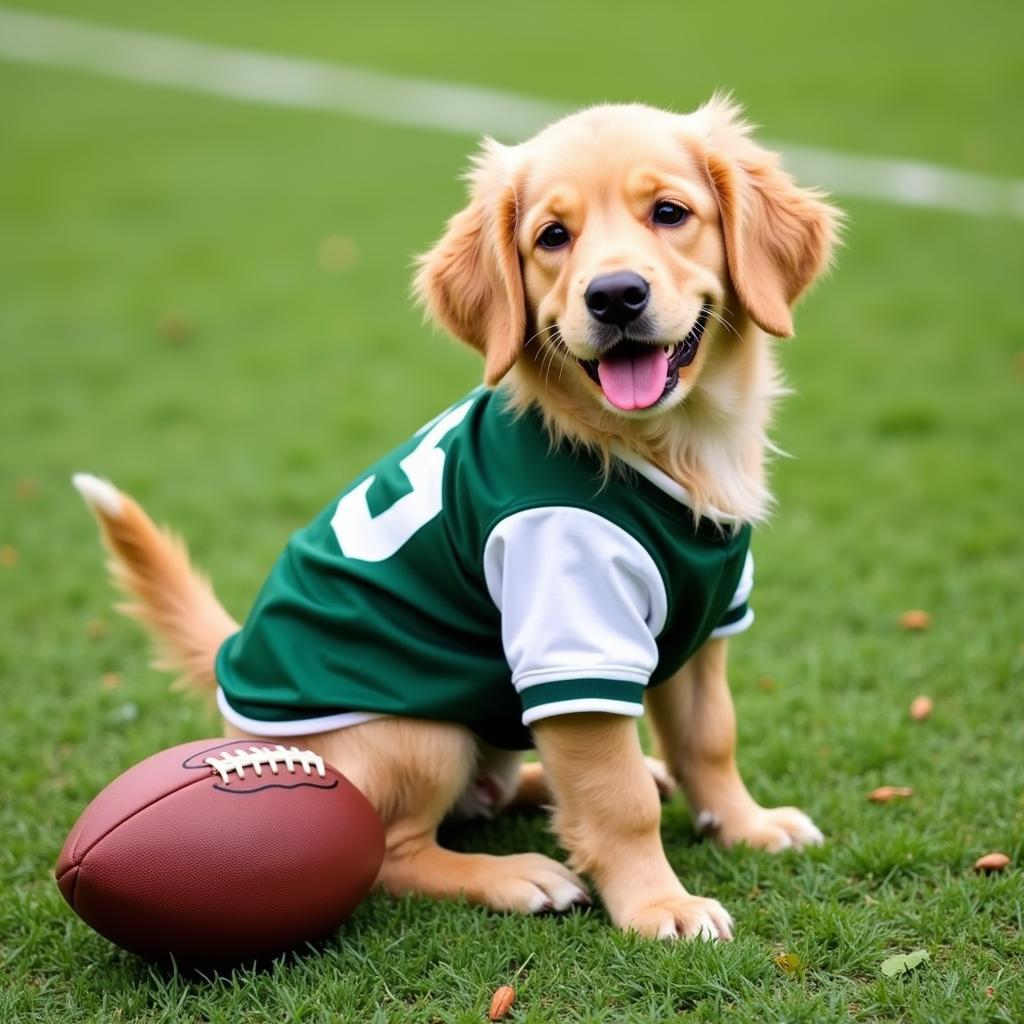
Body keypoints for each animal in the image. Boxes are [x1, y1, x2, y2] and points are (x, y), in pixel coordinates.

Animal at [72, 96, 839, 937]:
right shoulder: (573, 639)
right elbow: (617, 800)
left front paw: (745, 824)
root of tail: (231, 681)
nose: (614, 296)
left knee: (494, 789)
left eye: (670, 213)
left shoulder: (705, 627)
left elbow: (710, 739)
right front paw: (658, 904)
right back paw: (515, 875)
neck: (665, 448)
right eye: (552, 237)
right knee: (391, 852)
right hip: (418, 733)